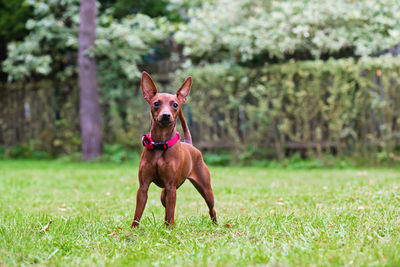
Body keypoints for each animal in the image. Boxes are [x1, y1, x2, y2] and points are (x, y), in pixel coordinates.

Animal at [132, 71, 217, 228]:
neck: (160, 143)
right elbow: (137, 214)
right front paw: (133, 230)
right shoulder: (143, 187)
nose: (166, 115)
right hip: (163, 194)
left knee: (211, 209)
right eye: (156, 103)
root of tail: (189, 144)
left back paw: (215, 224)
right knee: (166, 210)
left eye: (175, 105)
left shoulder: (171, 187)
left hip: (206, 190)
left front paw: (169, 230)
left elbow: (171, 212)